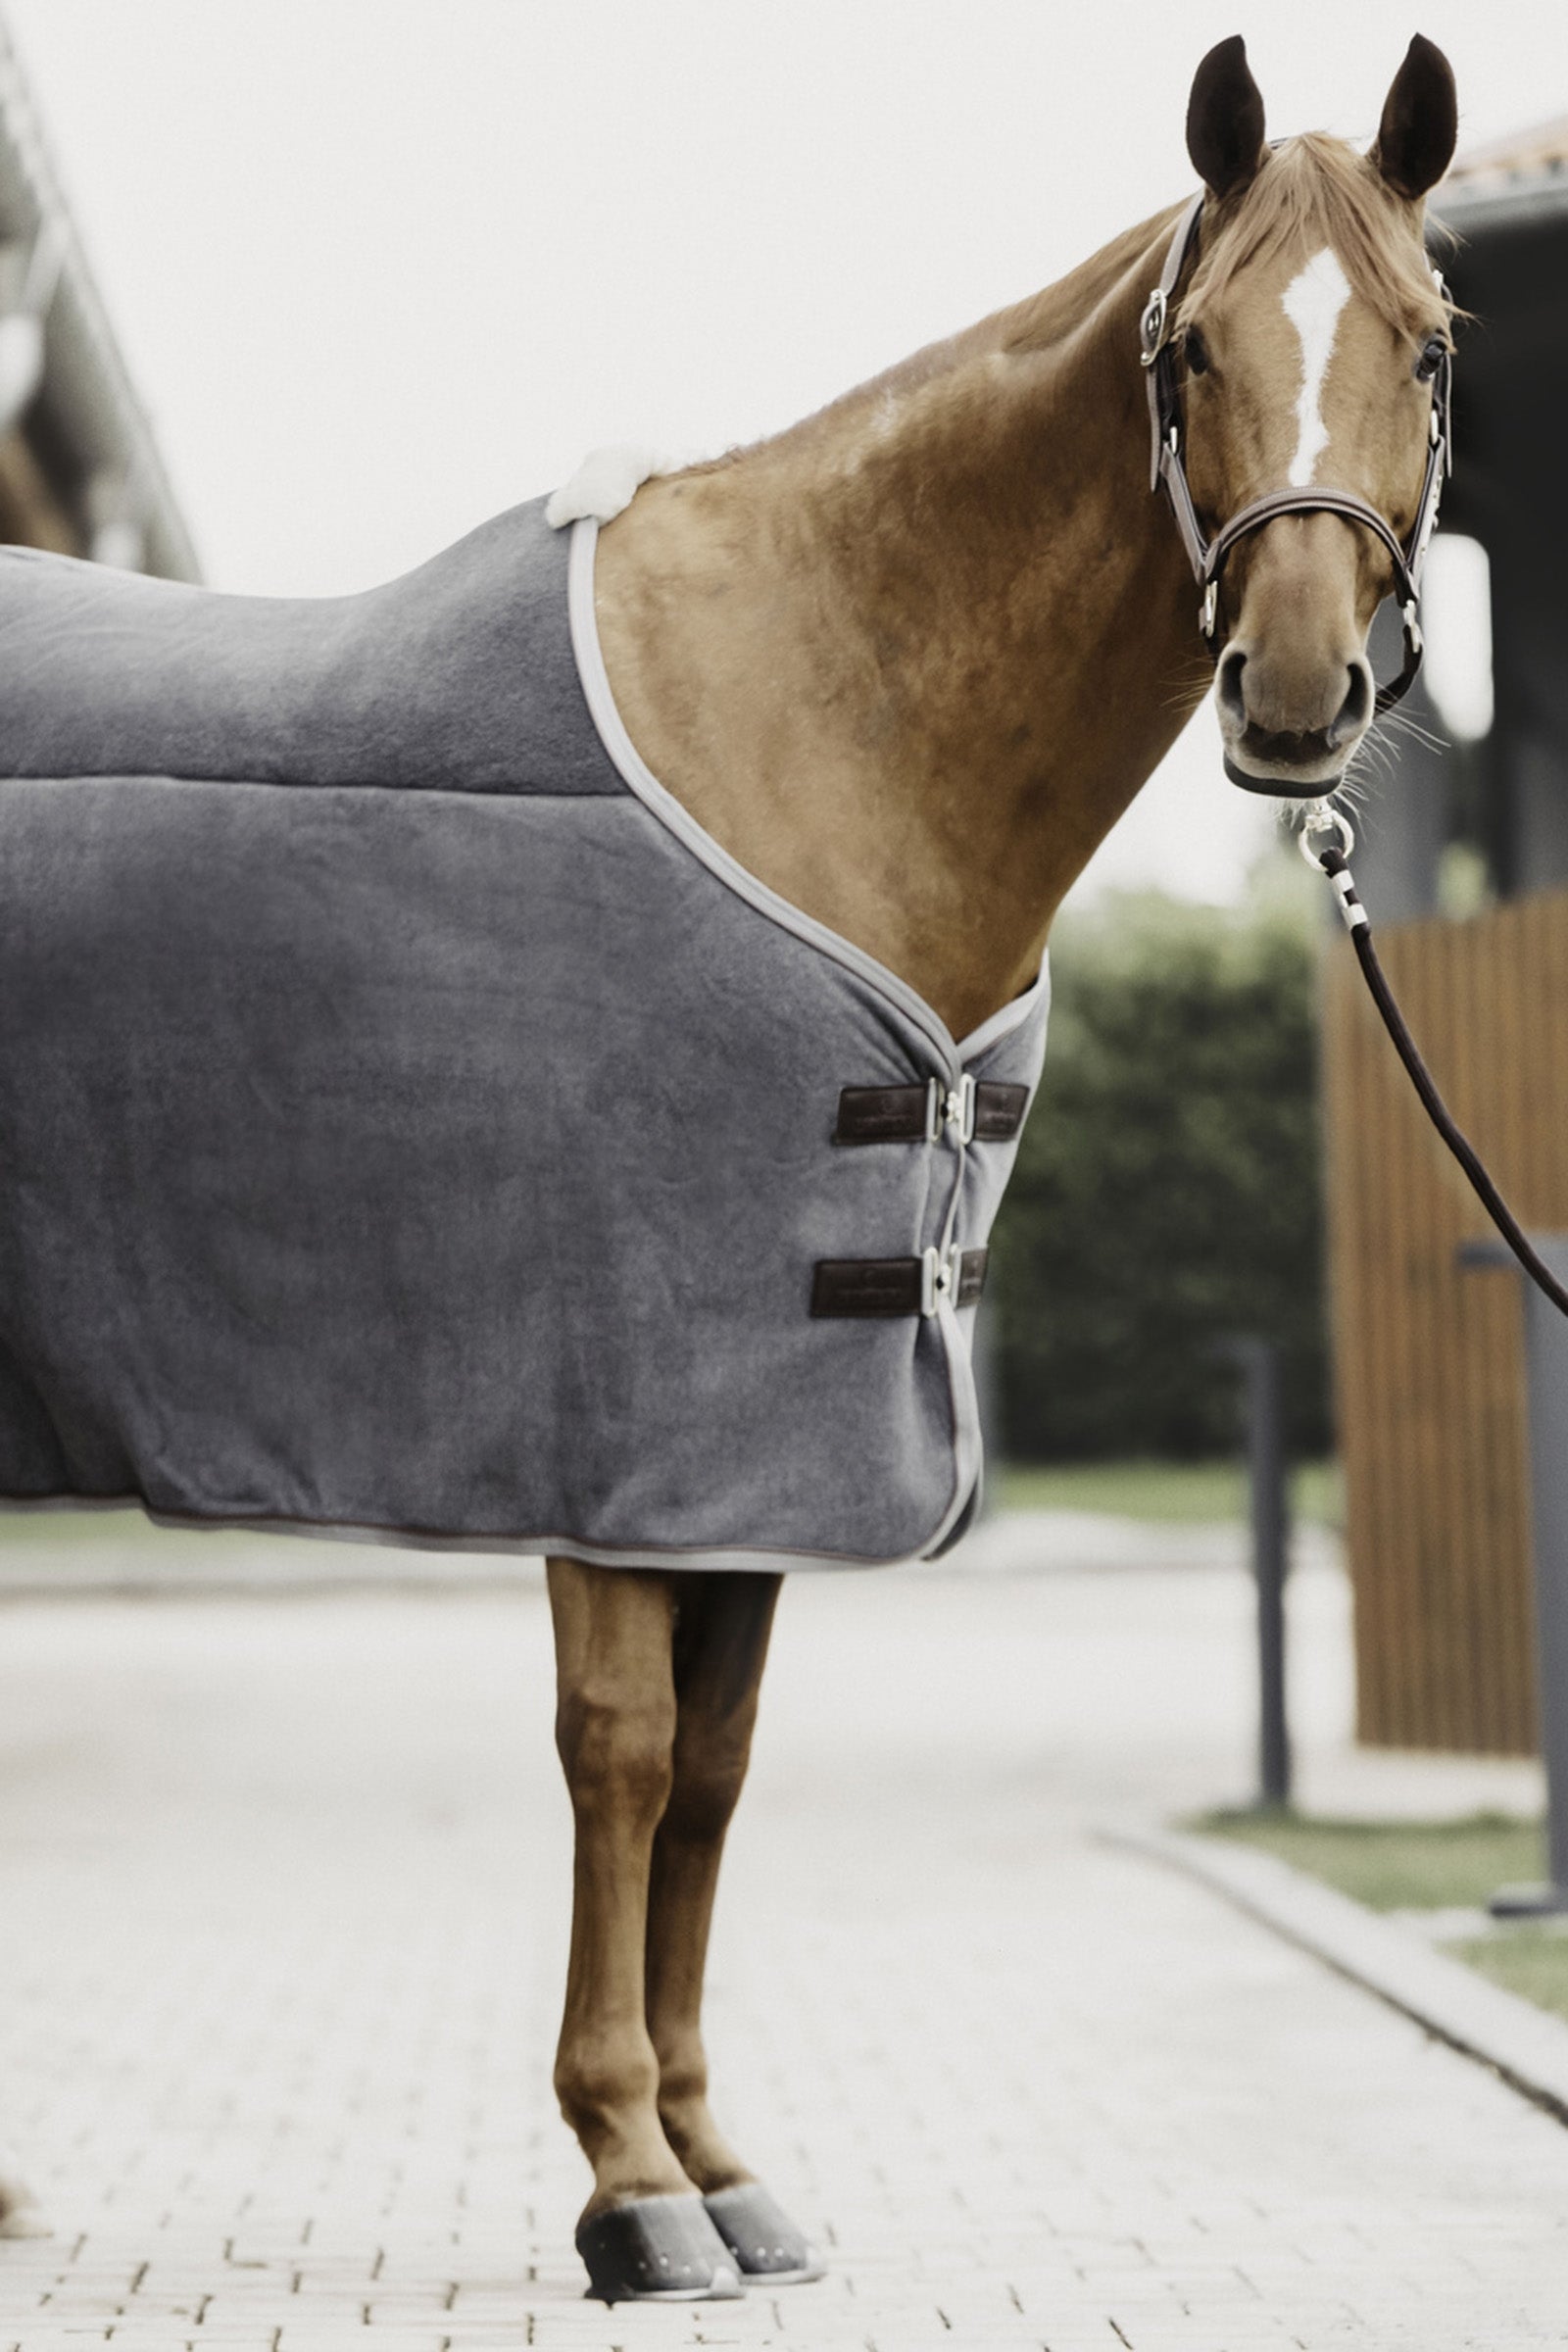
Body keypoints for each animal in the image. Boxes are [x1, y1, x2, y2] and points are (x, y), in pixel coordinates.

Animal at [0, 29, 1458, 2307]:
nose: (1297, 693)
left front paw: (713, 2156)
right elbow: (618, 1757)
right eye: (1191, 349)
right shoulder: (620, 1410)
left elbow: (715, 1766)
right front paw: (624, 2184)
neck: (817, 720)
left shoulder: (764, 1437)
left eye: (1429, 338)